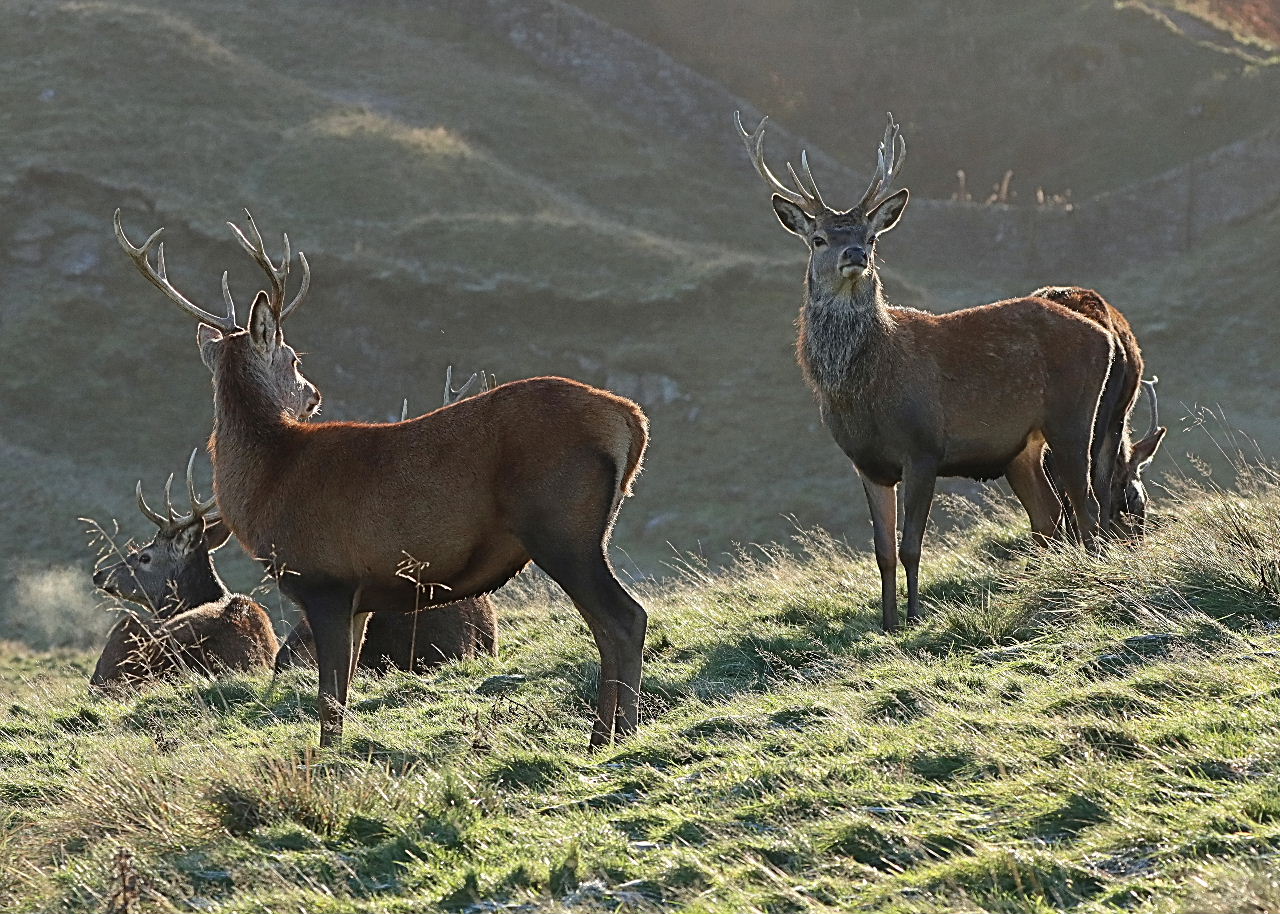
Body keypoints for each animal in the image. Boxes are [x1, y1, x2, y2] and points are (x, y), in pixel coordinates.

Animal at [735, 112, 1118, 631]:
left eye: (871, 236)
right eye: (818, 238)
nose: (855, 255)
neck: (863, 390)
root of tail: (1103, 335)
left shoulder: (923, 448)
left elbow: (911, 545)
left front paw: (915, 616)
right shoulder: (868, 463)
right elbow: (881, 550)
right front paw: (887, 621)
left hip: (1074, 416)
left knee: (1087, 503)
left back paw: (1091, 574)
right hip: (1021, 446)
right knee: (1048, 513)